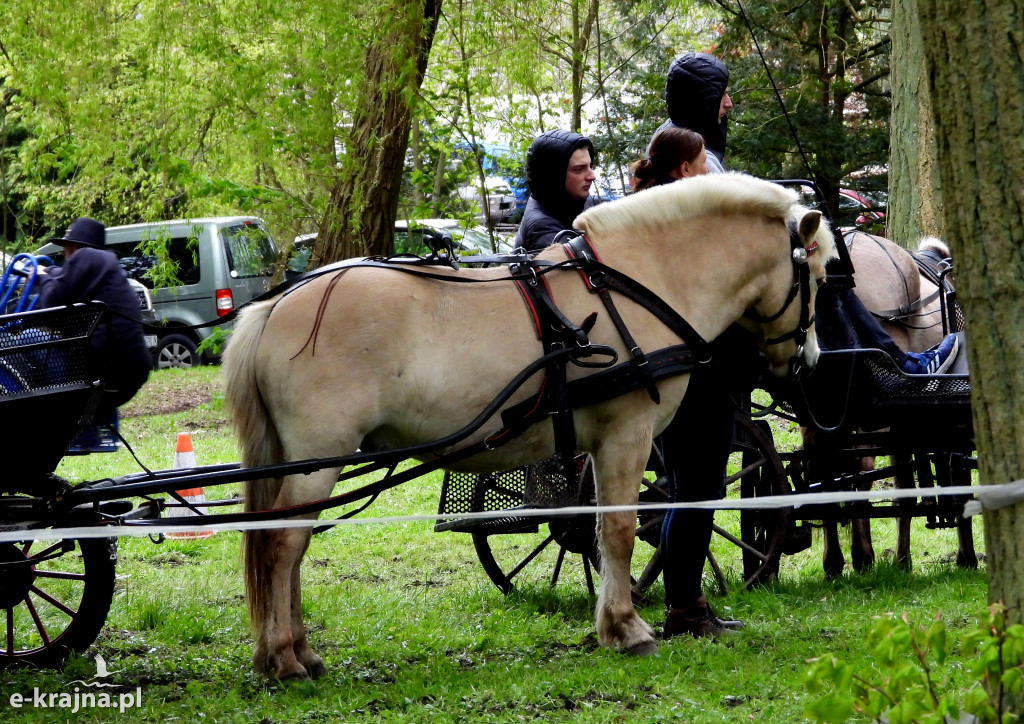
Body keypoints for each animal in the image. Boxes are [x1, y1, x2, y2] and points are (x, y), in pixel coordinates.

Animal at [222, 173, 831, 684]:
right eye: (821, 278)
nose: (810, 362)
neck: (641, 280)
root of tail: (275, 306)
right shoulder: (627, 436)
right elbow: (618, 530)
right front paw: (626, 628)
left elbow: (600, 528)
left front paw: (615, 624)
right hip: (317, 458)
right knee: (283, 545)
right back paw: (284, 657)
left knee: (287, 546)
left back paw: (298, 652)